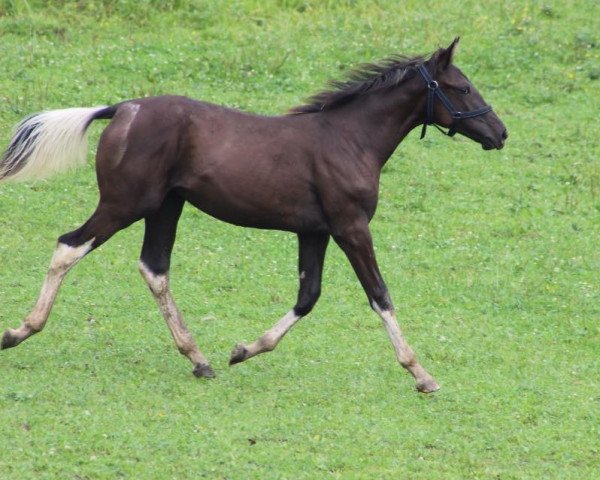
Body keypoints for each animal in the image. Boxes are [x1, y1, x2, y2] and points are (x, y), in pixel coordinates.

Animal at [0, 39, 506, 392]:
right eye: (462, 87)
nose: (500, 133)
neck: (348, 138)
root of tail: (123, 108)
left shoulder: (315, 232)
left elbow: (308, 296)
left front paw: (243, 350)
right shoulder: (351, 227)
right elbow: (379, 295)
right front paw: (421, 374)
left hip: (166, 206)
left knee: (154, 268)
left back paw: (199, 359)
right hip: (126, 204)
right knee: (69, 245)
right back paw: (20, 330)